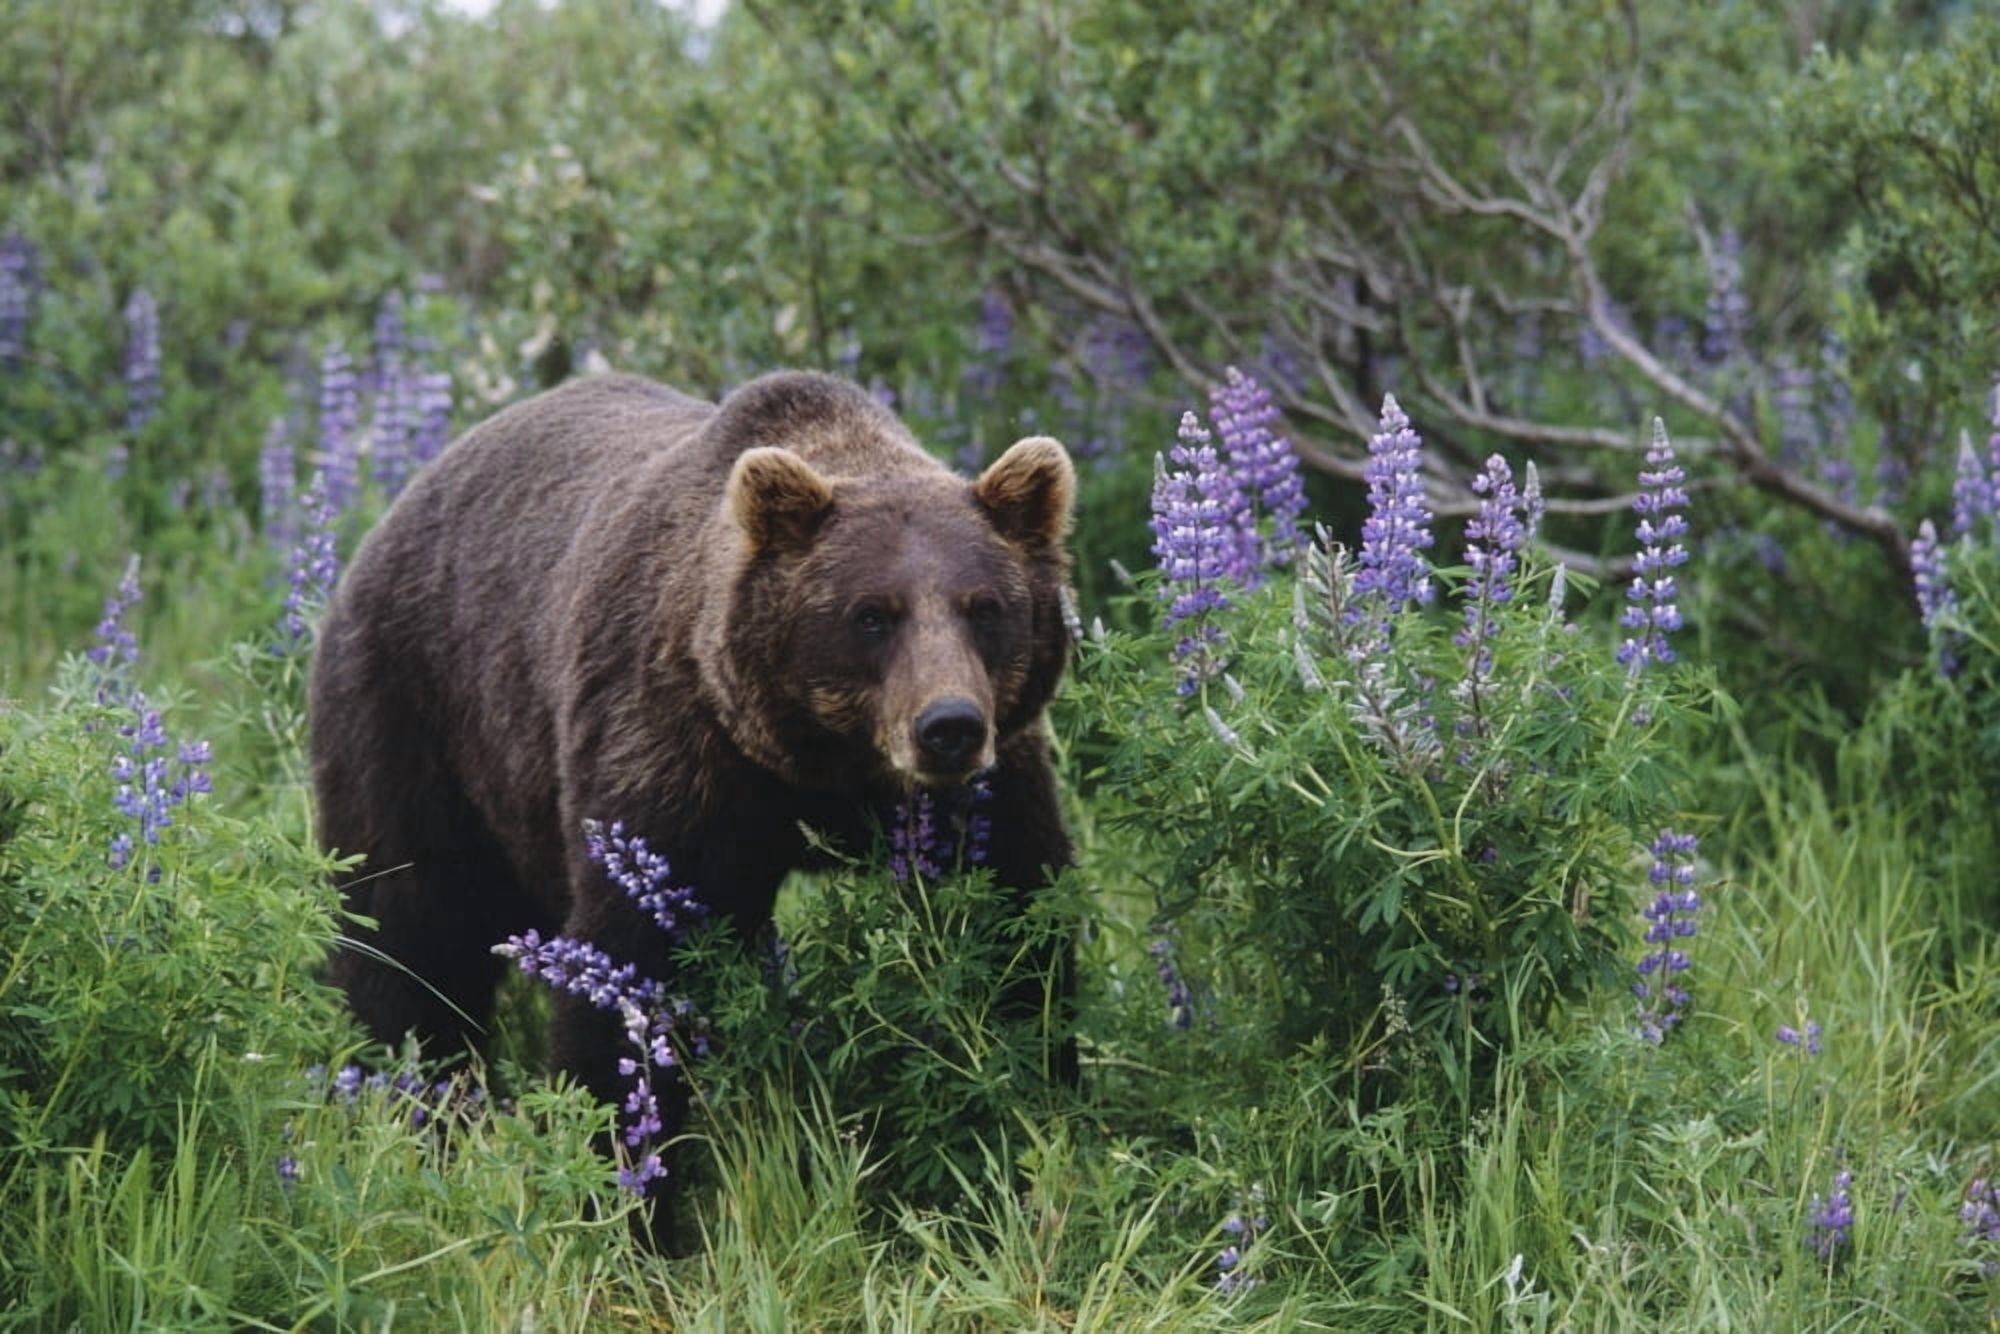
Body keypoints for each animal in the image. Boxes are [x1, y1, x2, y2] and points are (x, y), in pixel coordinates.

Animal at [307, 370, 1077, 1239]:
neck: (818, 767)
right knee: (409, 929)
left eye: (986, 607)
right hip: (416, 714)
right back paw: (421, 1103)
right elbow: (631, 973)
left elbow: (1018, 935)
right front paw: (630, 1197)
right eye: (871, 614)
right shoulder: (673, 755)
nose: (948, 726)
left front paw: (1020, 1127)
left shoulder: (992, 787)